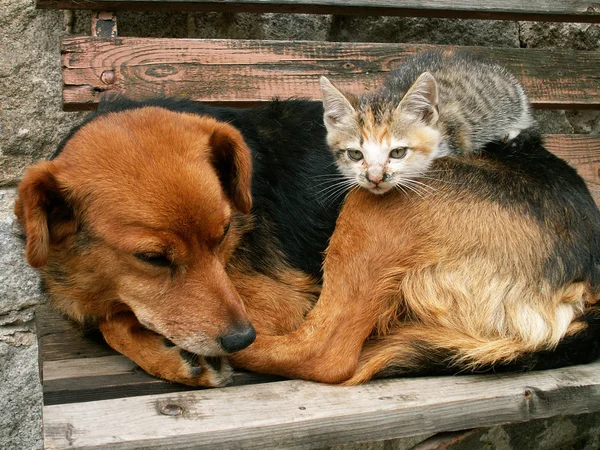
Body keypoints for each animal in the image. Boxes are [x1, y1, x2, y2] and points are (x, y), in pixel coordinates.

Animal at [15, 96, 600, 384]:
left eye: (225, 234)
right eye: (152, 257)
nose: (239, 338)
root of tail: (586, 272)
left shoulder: (269, 303)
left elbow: (118, 320)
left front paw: (166, 349)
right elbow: (110, 316)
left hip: (375, 204)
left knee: (327, 353)